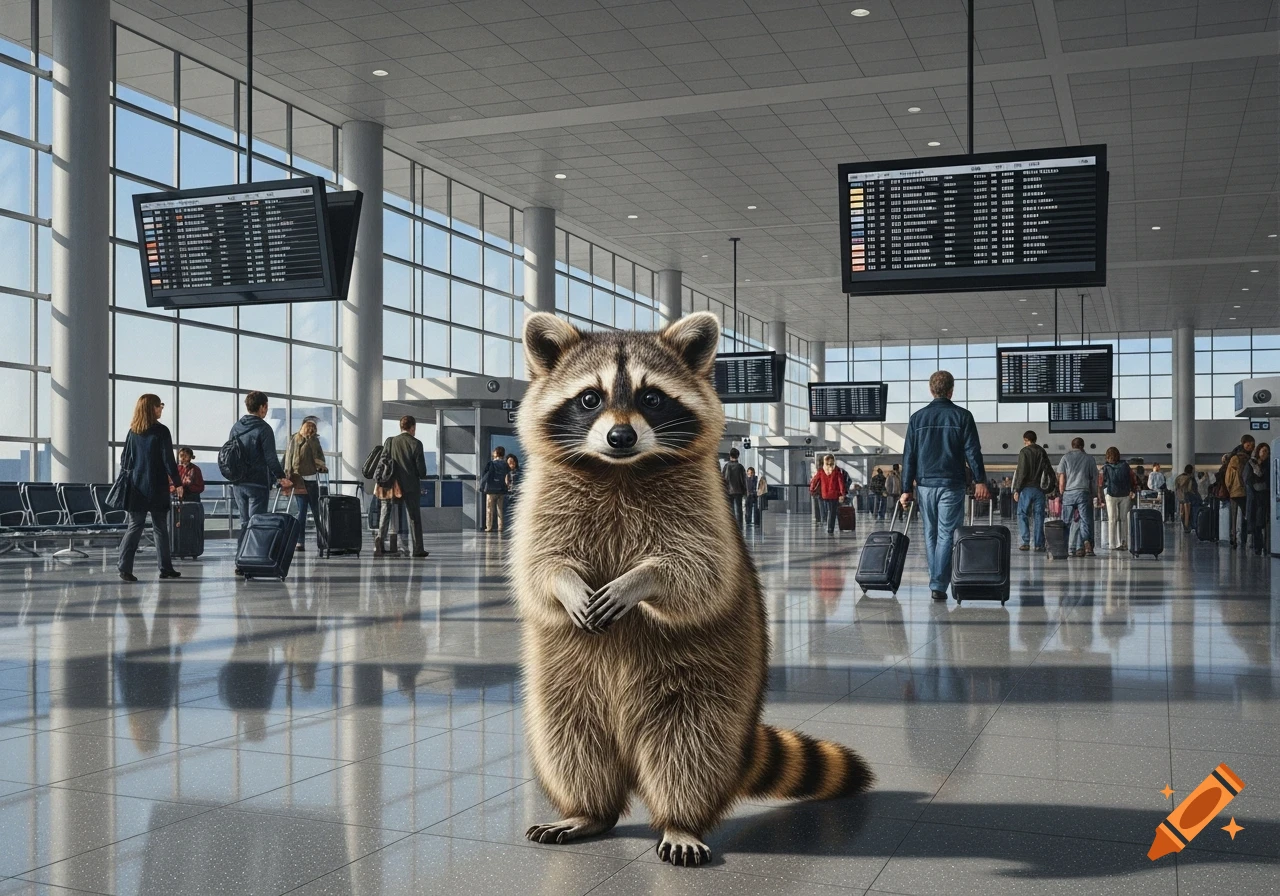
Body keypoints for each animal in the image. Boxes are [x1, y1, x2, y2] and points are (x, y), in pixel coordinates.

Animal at [510, 311, 873, 866]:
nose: (620, 436)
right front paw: (567, 584)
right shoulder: (539, 499)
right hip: (562, 682)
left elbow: (698, 571)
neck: (619, 470)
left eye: (652, 398)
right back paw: (587, 810)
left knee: (688, 751)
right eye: (590, 398)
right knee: (569, 739)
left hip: (705, 689)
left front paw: (639, 580)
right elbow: (538, 564)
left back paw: (679, 820)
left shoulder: (705, 507)